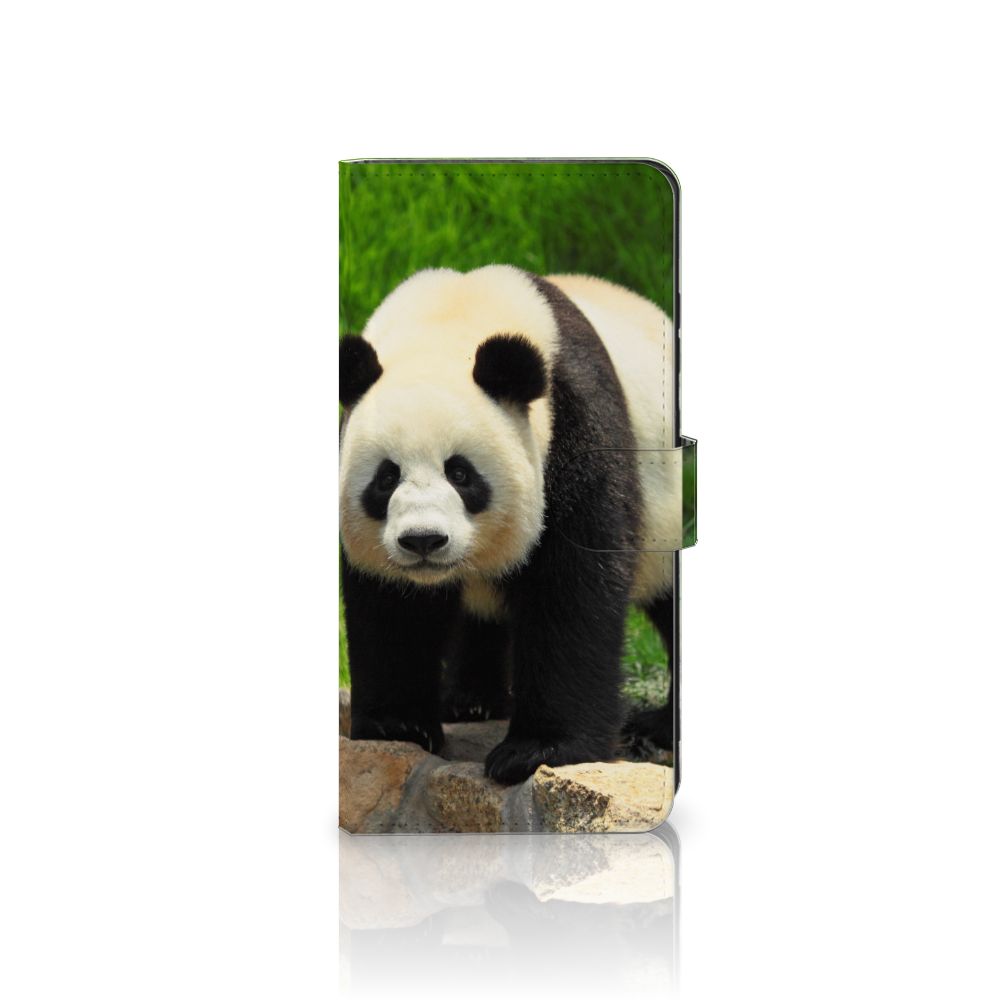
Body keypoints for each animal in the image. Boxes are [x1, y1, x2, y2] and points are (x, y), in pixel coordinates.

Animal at [339, 265, 678, 785]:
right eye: (386, 477)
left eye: (460, 474)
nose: (423, 541)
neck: (449, 321)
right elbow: (390, 605)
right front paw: (397, 726)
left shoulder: (573, 428)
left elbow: (572, 588)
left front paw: (537, 750)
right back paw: (470, 701)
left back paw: (657, 725)